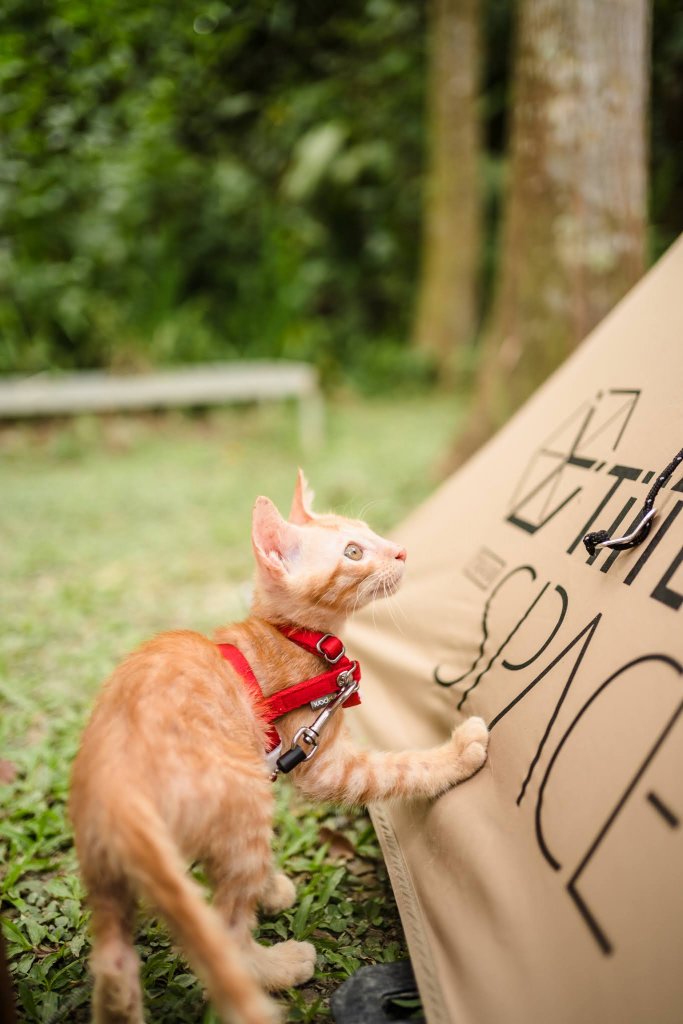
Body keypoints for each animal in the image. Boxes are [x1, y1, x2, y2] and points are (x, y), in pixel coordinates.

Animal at [69, 468, 489, 1024]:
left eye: (369, 533)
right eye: (354, 552)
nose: (401, 550)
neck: (295, 637)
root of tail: (115, 785)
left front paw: (269, 887)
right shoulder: (322, 760)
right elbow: (399, 769)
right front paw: (460, 752)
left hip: (112, 874)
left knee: (115, 963)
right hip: (246, 797)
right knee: (226, 934)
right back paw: (279, 966)